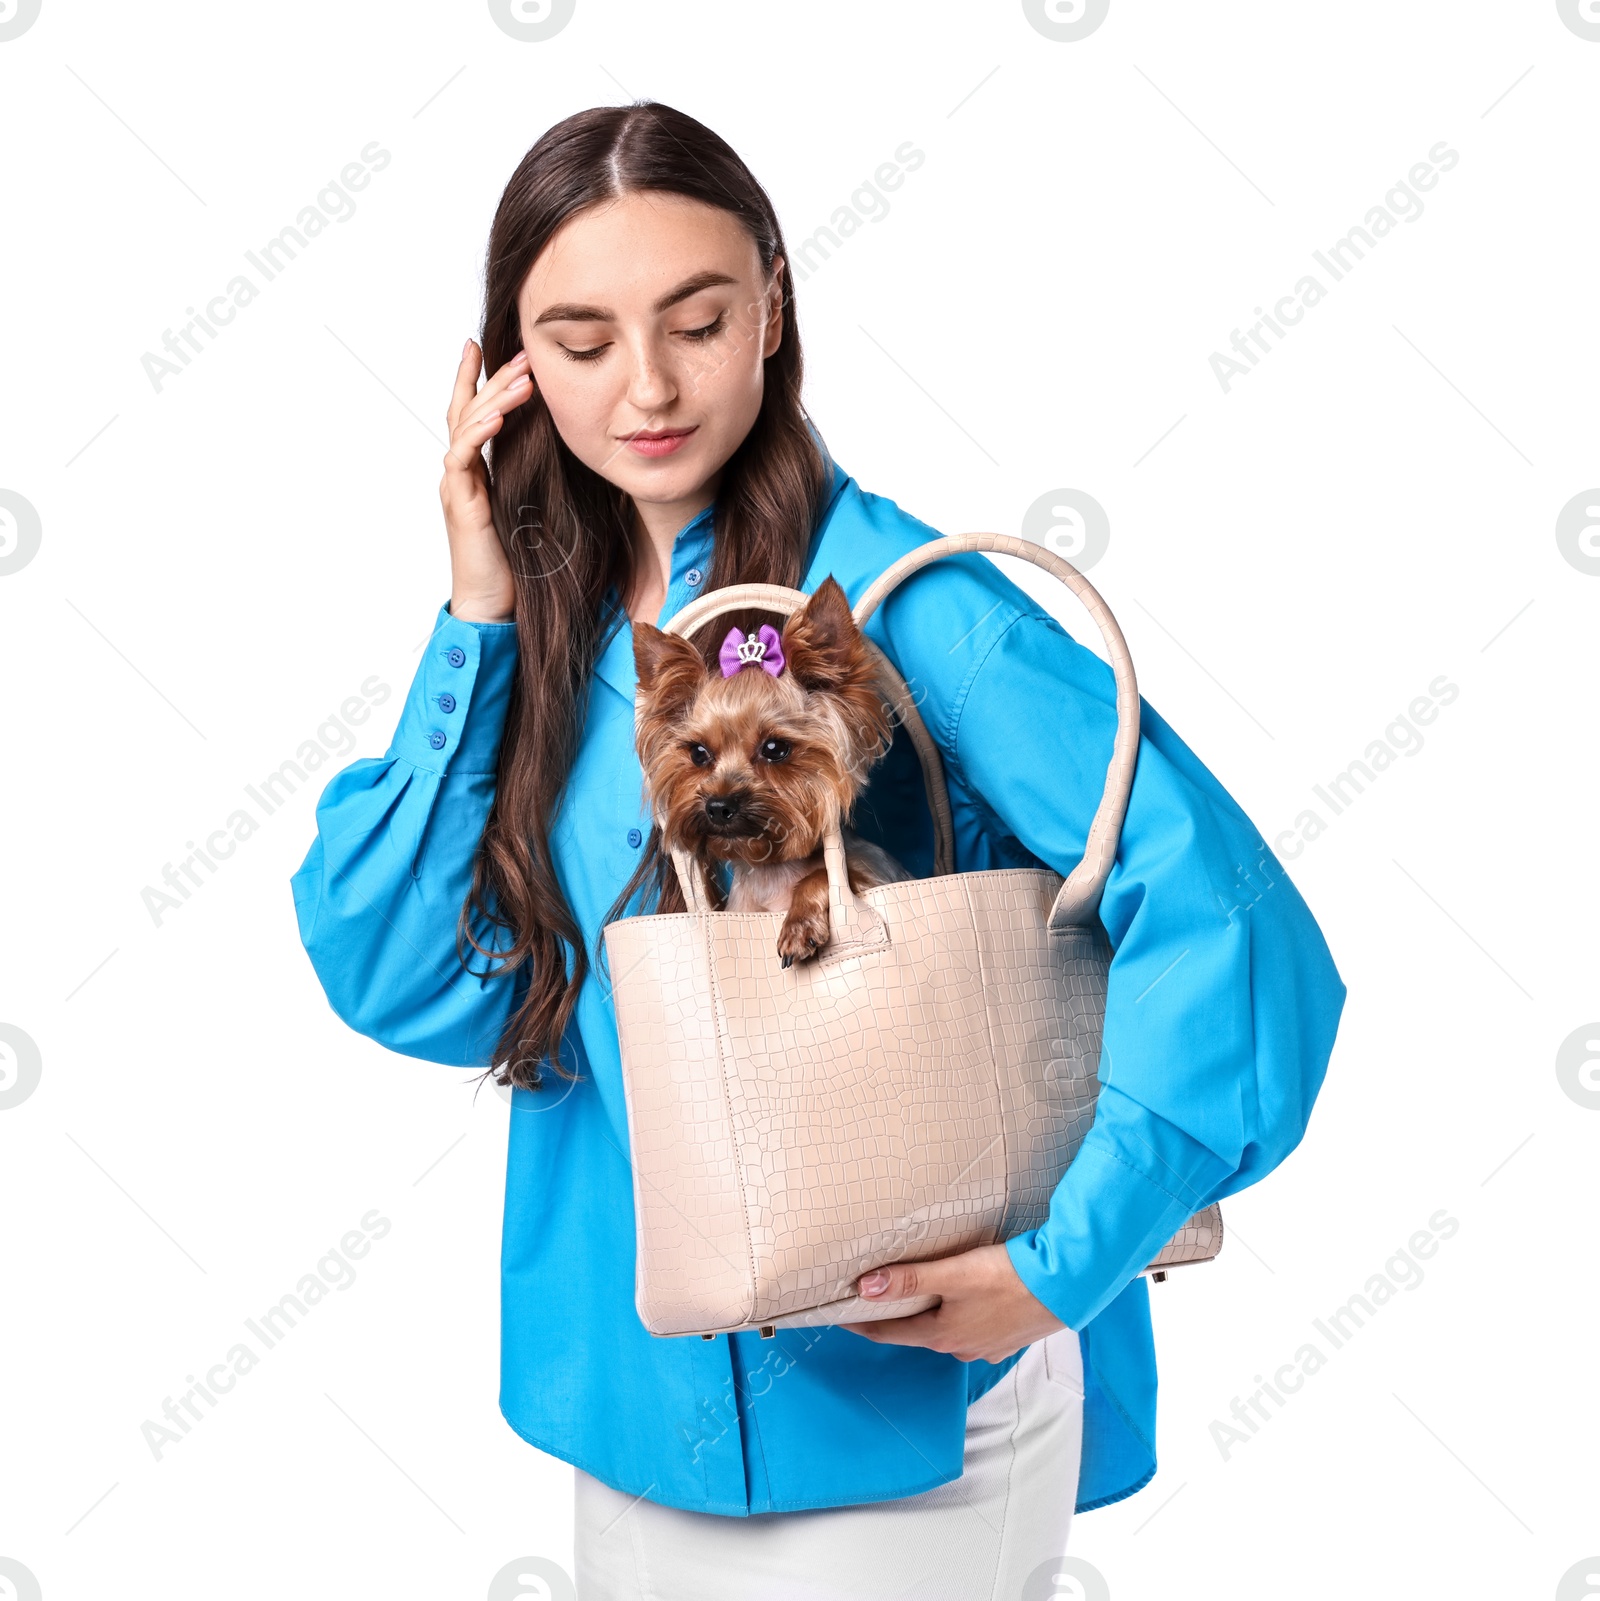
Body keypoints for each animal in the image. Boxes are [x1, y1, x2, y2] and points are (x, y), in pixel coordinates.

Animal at [627, 579, 916, 967]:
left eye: (775, 748)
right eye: (699, 753)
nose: (718, 806)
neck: (771, 871)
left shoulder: (874, 878)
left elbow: (822, 875)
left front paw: (799, 927)